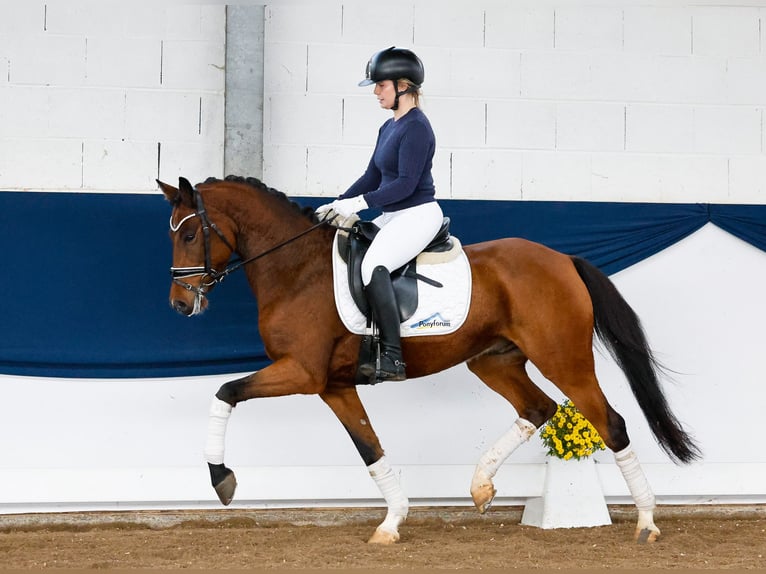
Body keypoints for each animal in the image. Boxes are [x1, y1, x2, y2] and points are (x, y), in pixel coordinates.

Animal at [158, 178, 704, 548]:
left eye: (189, 236)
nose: (180, 306)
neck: (296, 271)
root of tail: (562, 259)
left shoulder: (302, 372)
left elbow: (225, 391)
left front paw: (221, 480)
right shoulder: (334, 385)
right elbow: (370, 448)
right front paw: (392, 521)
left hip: (563, 358)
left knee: (611, 423)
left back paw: (647, 522)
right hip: (494, 362)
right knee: (539, 409)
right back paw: (481, 487)